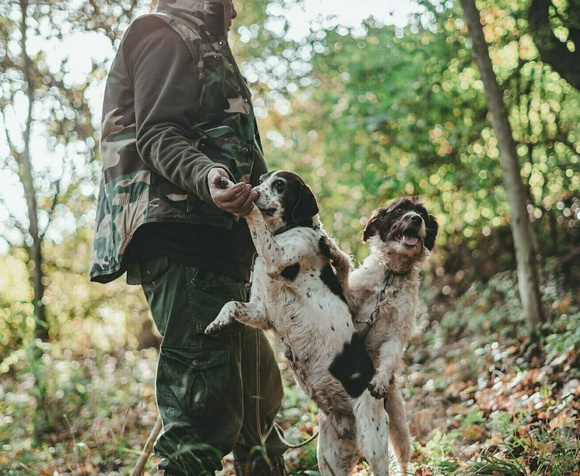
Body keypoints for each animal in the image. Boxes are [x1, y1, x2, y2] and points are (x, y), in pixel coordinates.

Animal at [206, 171, 392, 476]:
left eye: (280, 185)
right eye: (261, 179)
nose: (253, 188)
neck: (287, 230)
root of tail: (347, 428)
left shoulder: (276, 256)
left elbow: (253, 214)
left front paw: (241, 197)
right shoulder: (261, 311)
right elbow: (231, 304)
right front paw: (218, 322)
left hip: (373, 444)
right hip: (327, 457)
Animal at [328, 195, 438, 474]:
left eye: (423, 213)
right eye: (399, 210)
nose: (416, 219)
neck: (390, 278)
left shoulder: (397, 335)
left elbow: (389, 357)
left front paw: (378, 380)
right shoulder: (351, 308)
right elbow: (344, 273)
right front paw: (335, 254)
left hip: (398, 427)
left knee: (403, 458)